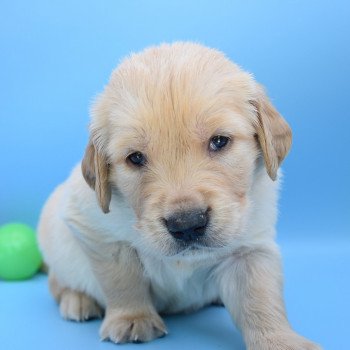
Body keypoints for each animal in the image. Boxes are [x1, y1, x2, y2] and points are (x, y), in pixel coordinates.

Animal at [37, 42, 320, 348]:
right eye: (135, 158)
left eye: (219, 141)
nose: (187, 224)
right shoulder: (96, 230)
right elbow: (122, 279)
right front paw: (132, 317)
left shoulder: (250, 247)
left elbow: (260, 298)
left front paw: (279, 340)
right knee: (55, 281)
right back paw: (77, 300)